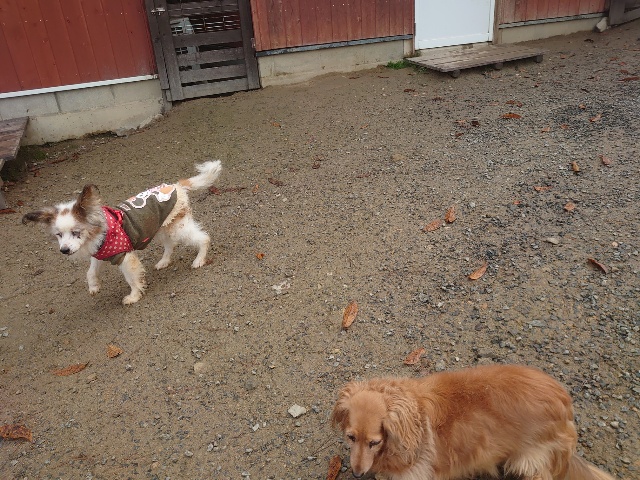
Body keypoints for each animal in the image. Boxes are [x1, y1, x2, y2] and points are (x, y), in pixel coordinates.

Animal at [23, 161, 222, 305]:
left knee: (203, 237)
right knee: (170, 245)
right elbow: (90, 272)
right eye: (58, 235)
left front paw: (133, 296)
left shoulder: (123, 256)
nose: (64, 250)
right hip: (161, 228)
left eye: (75, 232)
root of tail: (176, 185)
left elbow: (131, 279)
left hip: (179, 228)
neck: (99, 233)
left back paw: (199, 260)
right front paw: (94, 286)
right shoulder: (100, 253)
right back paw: (164, 261)